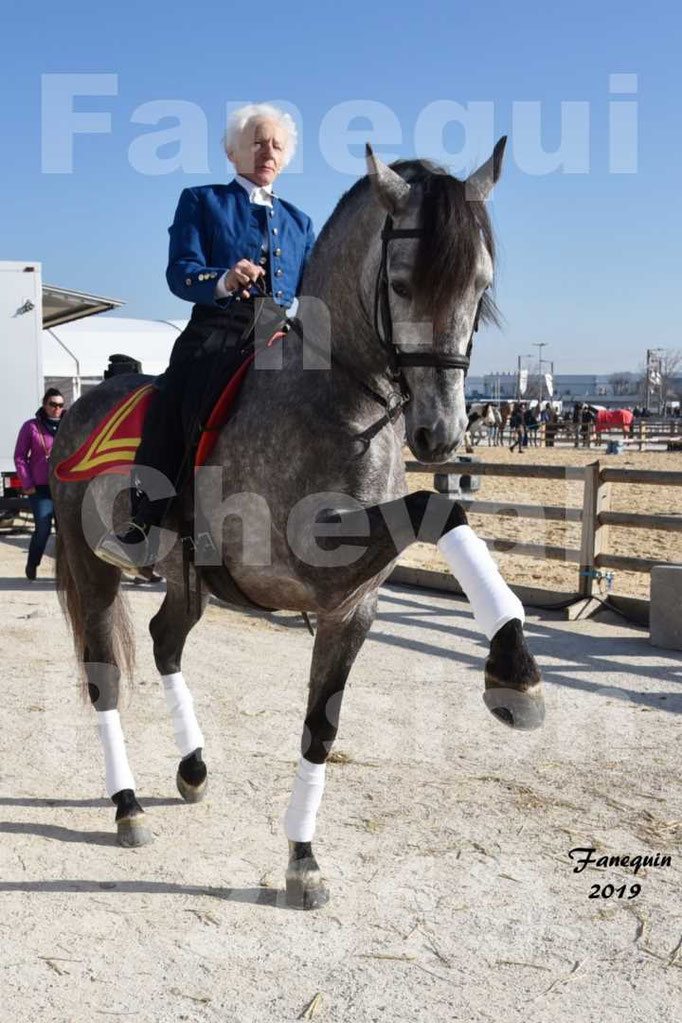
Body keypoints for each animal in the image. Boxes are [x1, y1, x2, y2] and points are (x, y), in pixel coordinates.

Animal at [51, 140, 545, 910]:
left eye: (481, 287)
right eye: (401, 282)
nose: (439, 433)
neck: (336, 395)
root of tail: (83, 403)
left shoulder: (351, 606)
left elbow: (321, 727)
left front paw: (303, 858)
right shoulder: (309, 558)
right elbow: (439, 507)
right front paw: (513, 668)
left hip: (189, 580)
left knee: (165, 641)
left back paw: (193, 769)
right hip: (92, 570)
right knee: (104, 679)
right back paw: (127, 806)